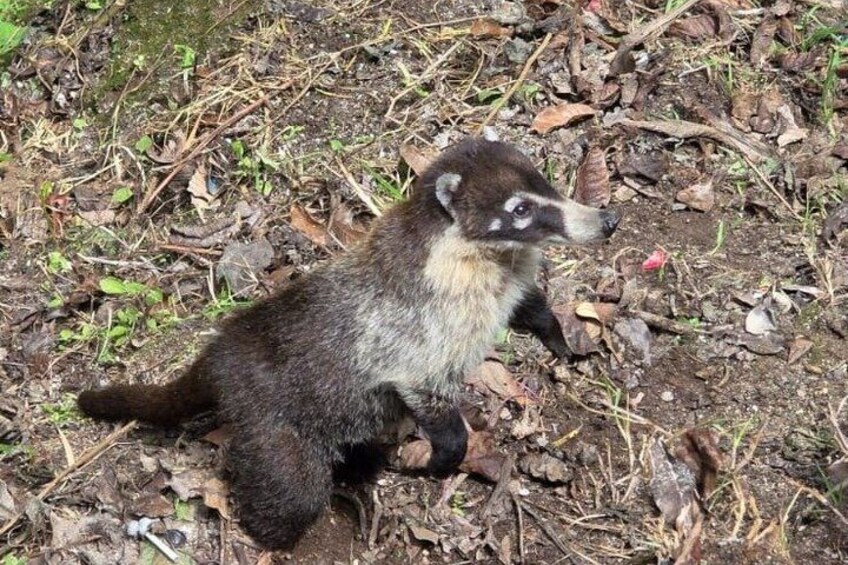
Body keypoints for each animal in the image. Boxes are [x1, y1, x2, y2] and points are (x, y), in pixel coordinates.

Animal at [78, 138, 620, 550]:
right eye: (520, 209)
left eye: (545, 182)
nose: (607, 220)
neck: (488, 257)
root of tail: (220, 353)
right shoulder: (418, 328)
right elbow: (425, 390)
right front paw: (444, 457)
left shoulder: (507, 282)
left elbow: (528, 303)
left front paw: (555, 332)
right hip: (270, 424)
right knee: (290, 494)